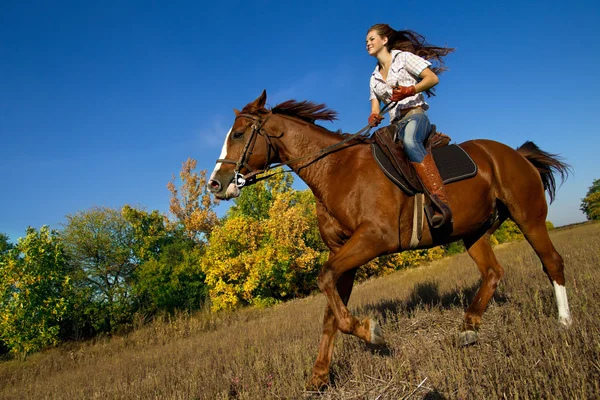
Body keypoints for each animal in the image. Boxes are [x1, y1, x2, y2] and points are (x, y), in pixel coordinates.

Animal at [206, 90, 572, 388]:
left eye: (238, 133)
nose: (215, 184)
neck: (337, 170)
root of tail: (516, 154)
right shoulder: (344, 253)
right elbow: (329, 311)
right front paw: (319, 377)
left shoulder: (373, 238)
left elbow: (325, 281)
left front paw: (372, 333)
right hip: (473, 233)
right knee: (493, 272)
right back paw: (468, 327)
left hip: (528, 216)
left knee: (551, 262)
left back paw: (564, 322)